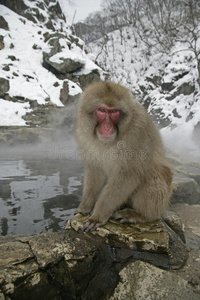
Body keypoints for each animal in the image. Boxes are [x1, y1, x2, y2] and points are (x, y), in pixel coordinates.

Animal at [76, 81, 173, 231]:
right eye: (102, 110)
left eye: (114, 111)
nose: (107, 127)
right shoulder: (84, 133)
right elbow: (95, 169)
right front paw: (86, 205)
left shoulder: (137, 132)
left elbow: (128, 174)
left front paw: (98, 216)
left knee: (151, 174)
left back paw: (142, 215)